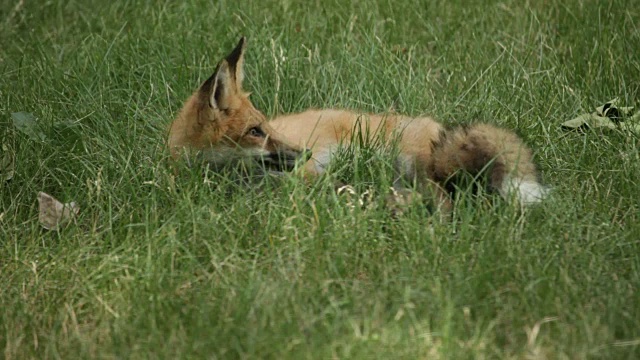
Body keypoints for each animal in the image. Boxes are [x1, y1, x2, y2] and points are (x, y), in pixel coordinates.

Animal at [168, 36, 548, 208]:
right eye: (255, 132)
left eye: (266, 127)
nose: (305, 153)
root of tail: (435, 126)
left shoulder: (307, 178)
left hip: (408, 162)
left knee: (444, 197)